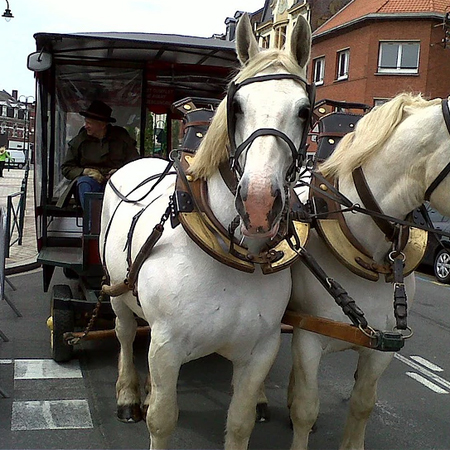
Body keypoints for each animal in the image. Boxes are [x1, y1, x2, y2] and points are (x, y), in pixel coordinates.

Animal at [100, 14, 312, 450]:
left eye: (303, 110)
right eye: (237, 106)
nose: (259, 203)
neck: (231, 253)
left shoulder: (260, 350)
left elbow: (240, 423)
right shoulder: (166, 347)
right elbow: (162, 420)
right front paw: (147, 405)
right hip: (117, 292)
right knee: (125, 333)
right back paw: (129, 392)